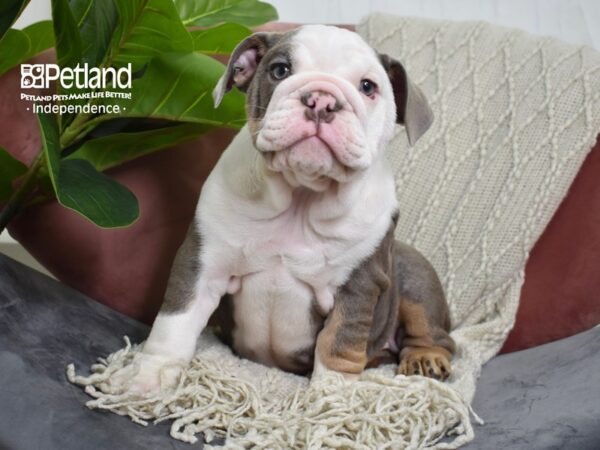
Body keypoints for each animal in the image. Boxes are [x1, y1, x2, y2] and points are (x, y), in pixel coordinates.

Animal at [105, 24, 458, 394]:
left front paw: (330, 395)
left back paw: (426, 358)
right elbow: (176, 321)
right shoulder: (202, 263)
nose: (322, 100)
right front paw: (150, 375)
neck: (301, 197)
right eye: (280, 70)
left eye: (367, 87)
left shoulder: (358, 286)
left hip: (415, 278)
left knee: (436, 335)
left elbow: (339, 342)